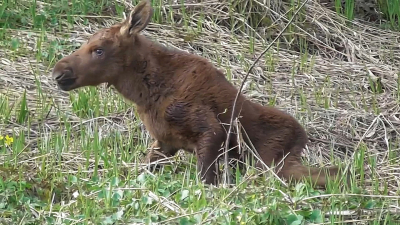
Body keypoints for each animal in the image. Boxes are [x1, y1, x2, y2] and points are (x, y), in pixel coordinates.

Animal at [51, 0, 342, 186]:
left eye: (99, 50)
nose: (58, 72)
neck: (145, 94)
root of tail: (303, 138)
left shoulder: (212, 132)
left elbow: (206, 180)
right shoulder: (165, 142)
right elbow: (145, 168)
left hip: (274, 163)